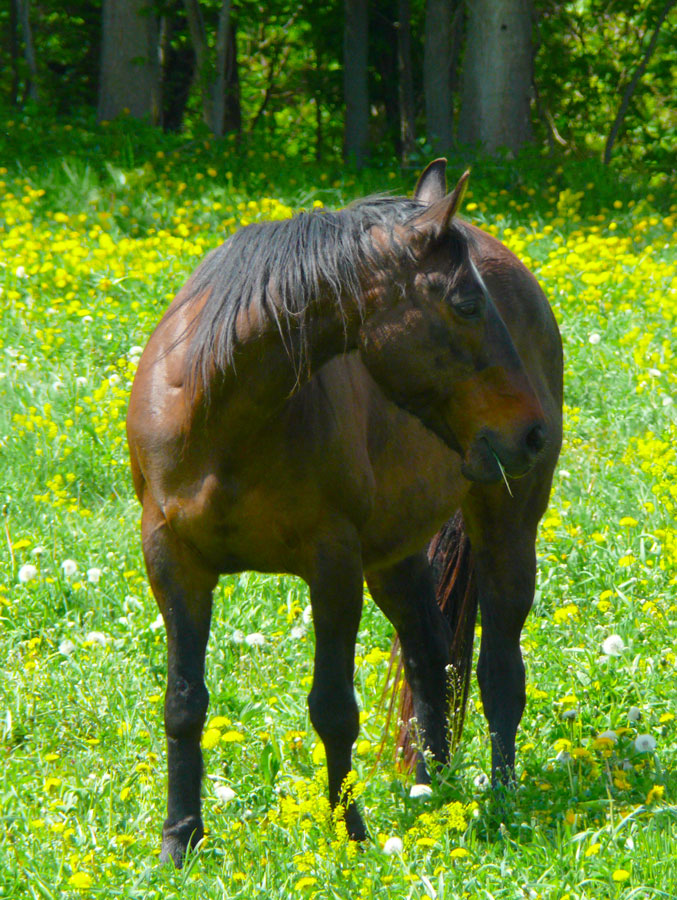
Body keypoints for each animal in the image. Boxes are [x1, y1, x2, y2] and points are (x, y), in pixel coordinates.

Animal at [127, 159, 563, 867]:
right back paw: (431, 786)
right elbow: (184, 703)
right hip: (395, 554)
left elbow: (332, 707)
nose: (531, 433)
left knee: (499, 669)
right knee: (430, 658)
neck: (220, 415)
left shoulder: (332, 565)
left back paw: (501, 799)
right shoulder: (173, 562)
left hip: (506, 522)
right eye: (466, 305)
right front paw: (179, 842)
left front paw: (349, 833)